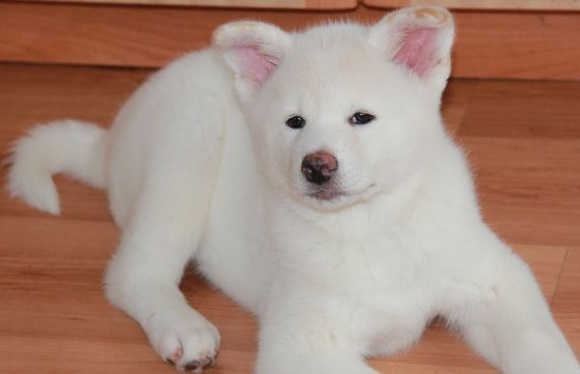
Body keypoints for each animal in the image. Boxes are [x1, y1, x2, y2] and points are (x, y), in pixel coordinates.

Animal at [6, 5, 576, 374]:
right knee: (133, 273)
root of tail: (109, 143)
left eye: (361, 117)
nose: (316, 166)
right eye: (294, 122)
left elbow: (541, 346)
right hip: (184, 151)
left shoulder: (496, 280)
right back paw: (184, 329)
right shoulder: (303, 344)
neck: (374, 225)